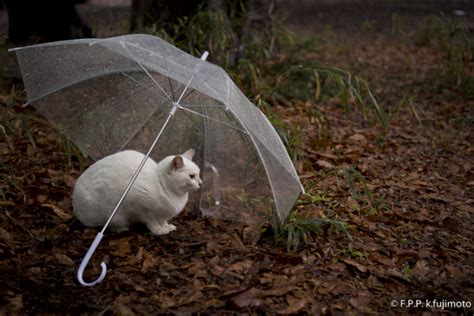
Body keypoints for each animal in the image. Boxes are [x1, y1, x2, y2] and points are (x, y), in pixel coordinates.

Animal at [72, 149, 202, 235]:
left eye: (199, 174)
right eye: (191, 176)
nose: (201, 183)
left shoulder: (162, 215)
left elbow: (163, 220)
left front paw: (166, 226)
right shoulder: (143, 210)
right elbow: (152, 222)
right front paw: (159, 230)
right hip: (109, 214)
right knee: (104, 225)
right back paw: (121, 228)